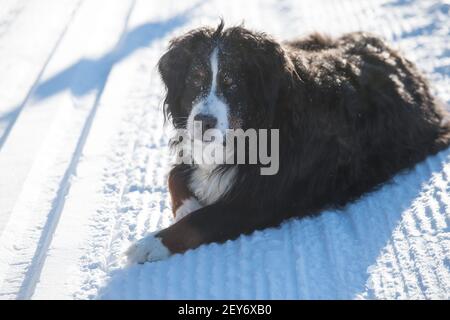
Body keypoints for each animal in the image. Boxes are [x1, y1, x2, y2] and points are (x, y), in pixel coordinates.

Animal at [125, 21, 450, 264]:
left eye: (232, 83)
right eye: (195, 79)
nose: (204, 122)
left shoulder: (259, 200)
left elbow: (202, 220)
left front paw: (152, 243)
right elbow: (174, 175)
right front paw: (187, 206)